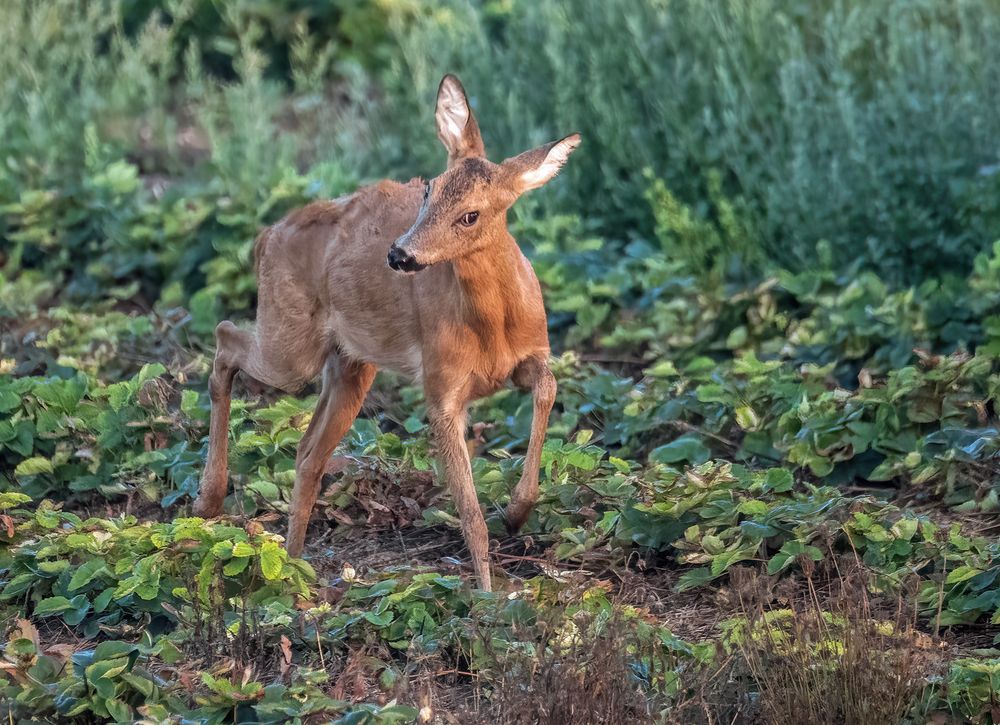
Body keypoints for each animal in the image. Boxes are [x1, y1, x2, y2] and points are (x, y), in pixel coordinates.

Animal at [189, 76, 580, 592]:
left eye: (470, 215)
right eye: (429, 190)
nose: (400, 254)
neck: (493, 328)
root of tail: (264, 238)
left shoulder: (529, 356)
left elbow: (548, 388)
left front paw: (517, 512)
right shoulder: (440, 387)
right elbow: (469, 511)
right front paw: (488, 595)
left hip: (351, 365)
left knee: (307, 452)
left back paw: (292, 569)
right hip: (290, 345)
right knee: (224, 337)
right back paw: (210, 502)